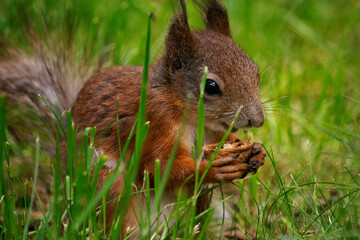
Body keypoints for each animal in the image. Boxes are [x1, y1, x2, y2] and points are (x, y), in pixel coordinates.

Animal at [0, 0, 268, 237]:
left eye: (255, 72)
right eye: (210, 86)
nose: (258, 121)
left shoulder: (212, 133)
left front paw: (258, 151)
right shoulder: (153, 124)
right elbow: (158, 168)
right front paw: (213, 168)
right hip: (107, 186)